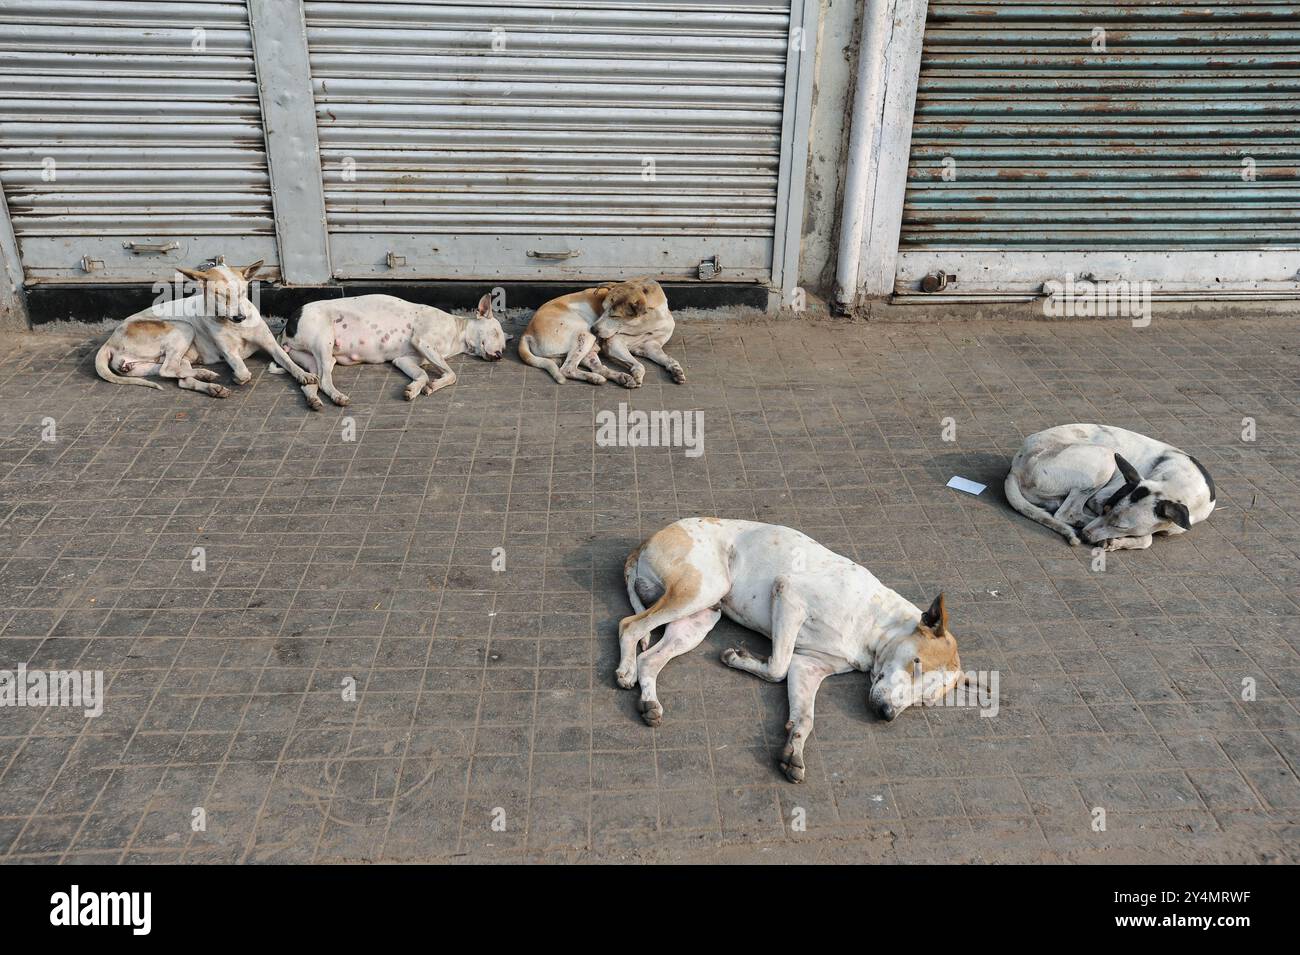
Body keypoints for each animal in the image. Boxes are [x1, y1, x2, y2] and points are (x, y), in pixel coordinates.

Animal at [94, 259, 317, 397]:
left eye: (242, 292)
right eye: (219, 294)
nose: (240, 317)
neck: (234, 325)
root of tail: (110, 341)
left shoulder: (270, 344)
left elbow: (287, 360)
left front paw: (303, 374)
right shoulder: (230, 353)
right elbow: (244, 373)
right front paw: (237, 377)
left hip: (154, 362)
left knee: (177, 374)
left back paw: (207, 381)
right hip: (182, 328)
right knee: (168, 370)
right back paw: (206, 377)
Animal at [276, 293, 509, 407]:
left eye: (505, 347)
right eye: (495, 333)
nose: (499, 356)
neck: (456, 333)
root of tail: (287, 325)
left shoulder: (405, 360)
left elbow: (423, 375)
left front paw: (415, 389)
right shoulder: (422, 341)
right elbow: (451, 374)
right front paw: (434, 384)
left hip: (316, 360)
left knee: (309, 383)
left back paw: (313, 400)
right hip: (324, 343)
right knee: (324, 381)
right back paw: (337, 397)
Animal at [517, 276, 686, 389]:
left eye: (615, 316)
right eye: (603, 308)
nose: (594, 329)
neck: (647, 323)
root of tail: (527, 332)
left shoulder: (651, 346)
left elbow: (668, 359)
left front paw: (676, 370)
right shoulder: (614, 343)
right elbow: (639, 365)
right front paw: (637, 373)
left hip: (588, 347)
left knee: (598, 368)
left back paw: (616, 377)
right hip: (585, 335)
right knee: (567, 369)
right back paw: (600, 377)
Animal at [618, 522, 967, 784]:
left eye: (925, 701)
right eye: (916, 664)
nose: (887, 715)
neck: (876, 623)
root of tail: (649, 539)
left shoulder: (808, 665)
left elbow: (805, 715)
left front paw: (794, 749)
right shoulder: (789, 594)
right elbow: (777, 667)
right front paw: (742, 658)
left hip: (697, 618)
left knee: (650, 658)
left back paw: (649, 701)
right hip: (702, 588)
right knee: (629, 626)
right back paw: (625, 670)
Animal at [1003, 426, 1216, 553]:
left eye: (1121, 526)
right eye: (1105, 509)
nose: (1085, 536)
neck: (1179, 481)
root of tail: (1016, 467)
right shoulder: (1099, 498)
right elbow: (1147, 538)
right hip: (1105, 457)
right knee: (1066, 513)